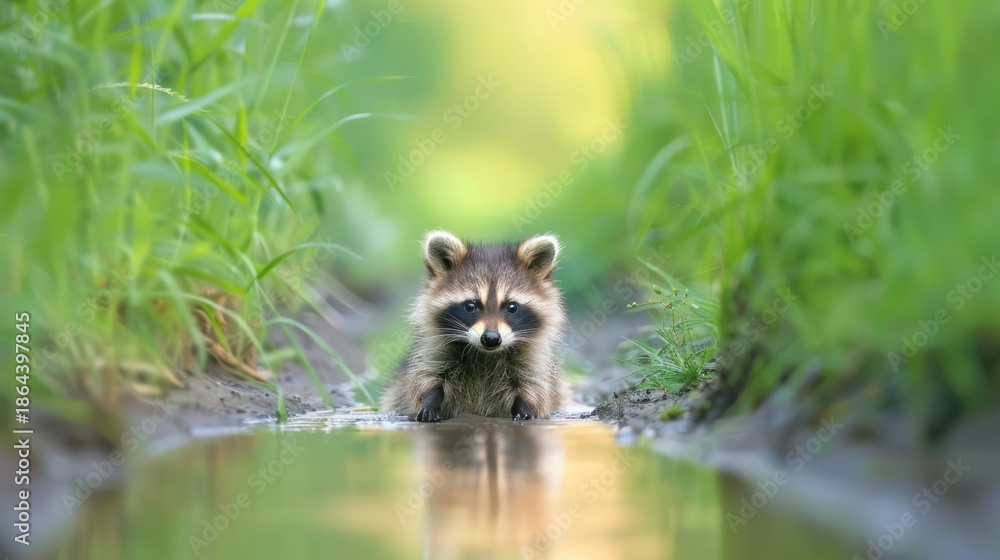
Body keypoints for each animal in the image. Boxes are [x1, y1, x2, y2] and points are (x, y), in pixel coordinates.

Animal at [380, 230, 568, 422]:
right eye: (471, 306)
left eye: (512, 307)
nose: (491, 339)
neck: (486, 354)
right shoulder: (433, 350)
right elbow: (426, 377)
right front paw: (430, 401)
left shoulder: (533, 359)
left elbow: (533, 385)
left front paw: (526, 405)